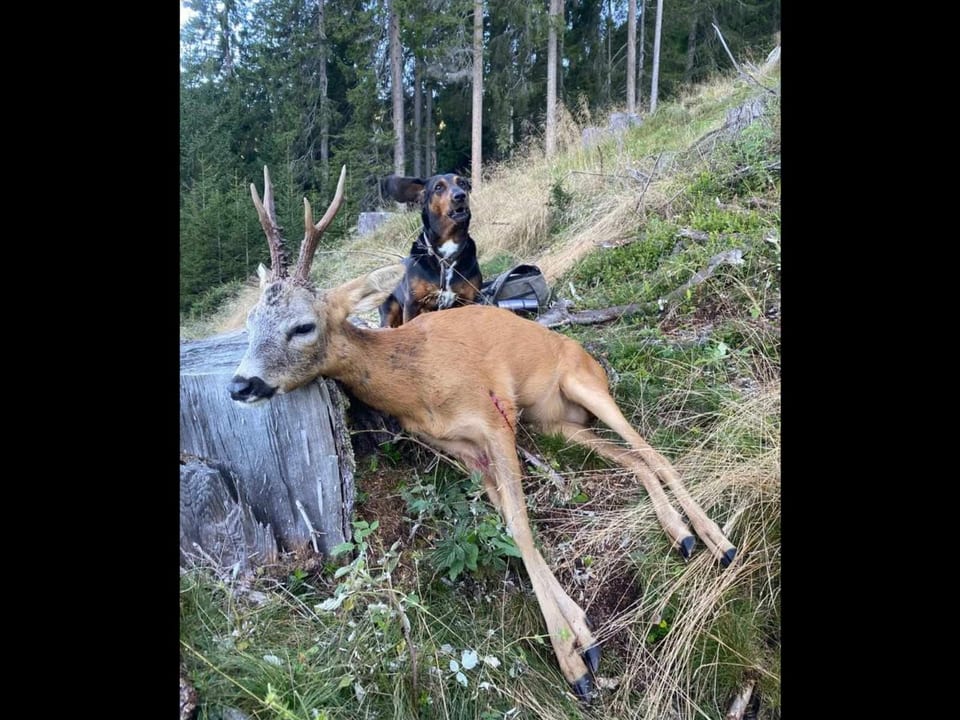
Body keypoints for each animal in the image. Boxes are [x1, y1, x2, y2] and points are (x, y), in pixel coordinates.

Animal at [378, 173, 484, 328]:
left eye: (462, 183)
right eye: (438, 187)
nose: (460, 196)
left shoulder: (469, 300)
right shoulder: (413, 303)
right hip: (389, 310)